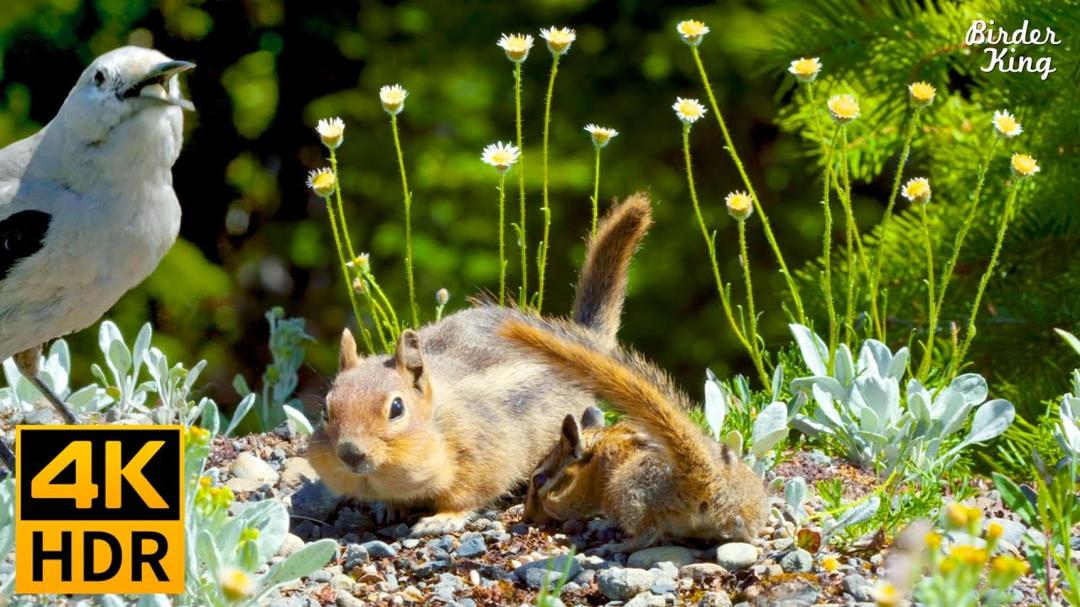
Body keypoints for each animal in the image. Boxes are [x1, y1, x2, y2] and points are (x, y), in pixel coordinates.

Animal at [307, 193, 653, 537]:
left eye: (396, 408)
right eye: (325, 410)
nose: (350, 453)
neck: (440, 417)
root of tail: (583, 342)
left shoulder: (487, 453)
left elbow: (468, 493)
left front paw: (441, 518)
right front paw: (387, 506)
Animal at [499, 316, 769, 554]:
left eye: (538, 480)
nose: (527, 517)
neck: (598, 447)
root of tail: (705, 477)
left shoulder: (582, 495)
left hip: (625, 490)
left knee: (647, 533)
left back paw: (616, 546)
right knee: (742, 529)